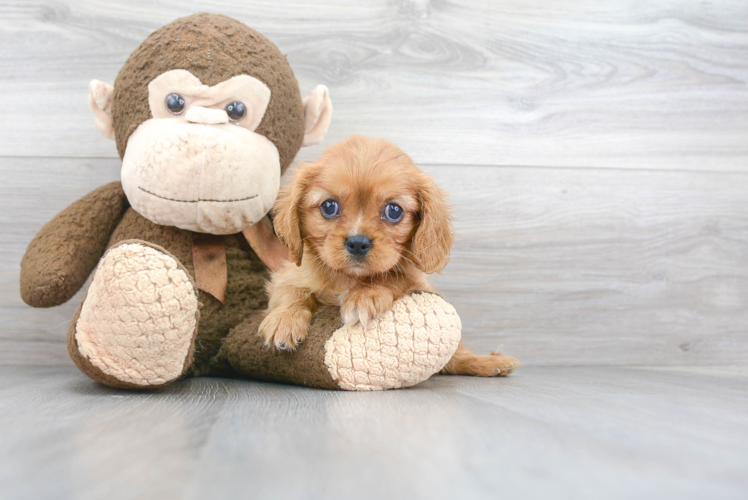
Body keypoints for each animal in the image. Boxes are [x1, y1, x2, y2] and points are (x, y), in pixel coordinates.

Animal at [262, 135, 520, 376]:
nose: (358, 243)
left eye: (394, 211)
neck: (349, 279)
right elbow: (292, 292)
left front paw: (364, 296)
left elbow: (394, 277)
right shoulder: (286, 277)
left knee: (456, 358)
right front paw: (284, 320)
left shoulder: (419, 284)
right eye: (329, 206)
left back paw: (489, 363)